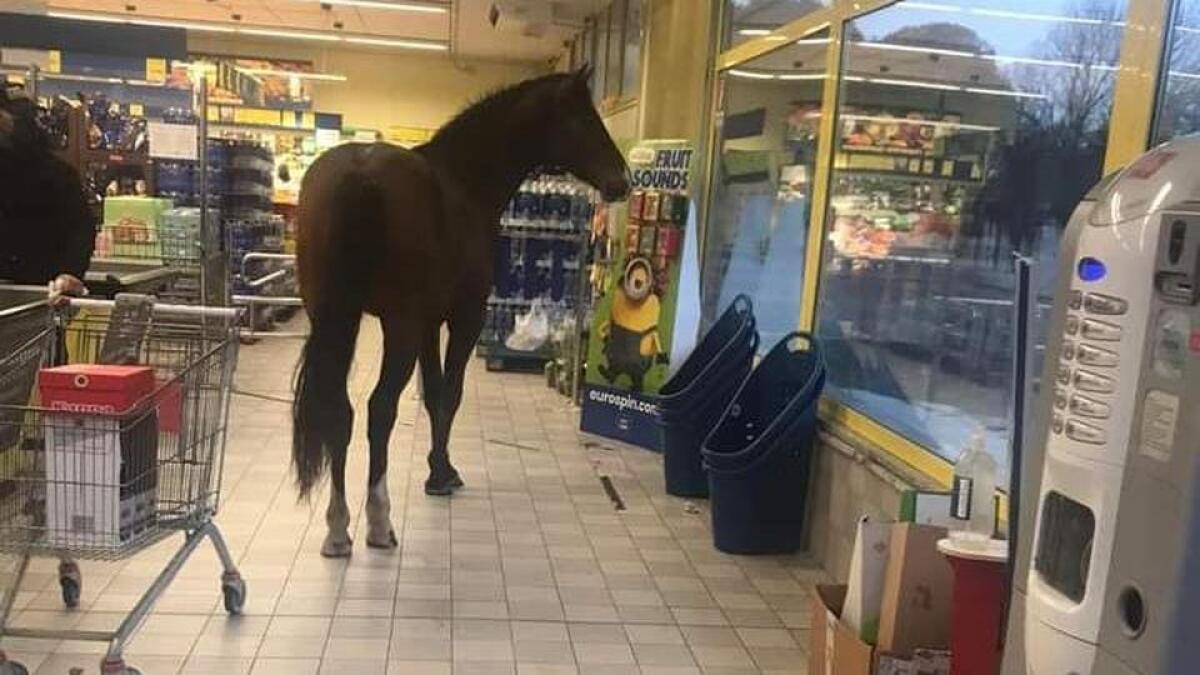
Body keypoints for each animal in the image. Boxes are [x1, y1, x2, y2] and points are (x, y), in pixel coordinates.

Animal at [292, 66, 630, 557]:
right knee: (379, 409)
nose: (622, 180)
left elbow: (433, 392)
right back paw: (378, 521)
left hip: (337, 321)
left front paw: (440, 468)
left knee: (341, 410)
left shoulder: (429, 325)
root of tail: (361, 172)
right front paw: (441, 475)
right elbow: (449, 394)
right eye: (583, 117)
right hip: (397, 327)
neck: (463, 182)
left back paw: (338, 528)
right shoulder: (463, 319)